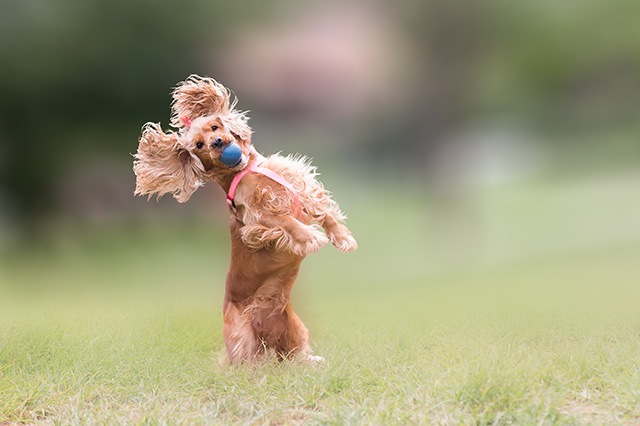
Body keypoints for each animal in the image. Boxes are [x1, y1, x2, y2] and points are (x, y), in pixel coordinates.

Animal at [133, 75, 358, 364]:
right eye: (198, 145)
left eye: (215, 126)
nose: (218, 142)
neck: (246, 170)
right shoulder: (255, 218)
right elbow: (286, 222)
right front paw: (310, 236)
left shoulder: (298, 184)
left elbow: (323, 211)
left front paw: (342, 237)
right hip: (241, 337)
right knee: (244, 364)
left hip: (295, 330)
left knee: (294, 355)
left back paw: (312, 362)